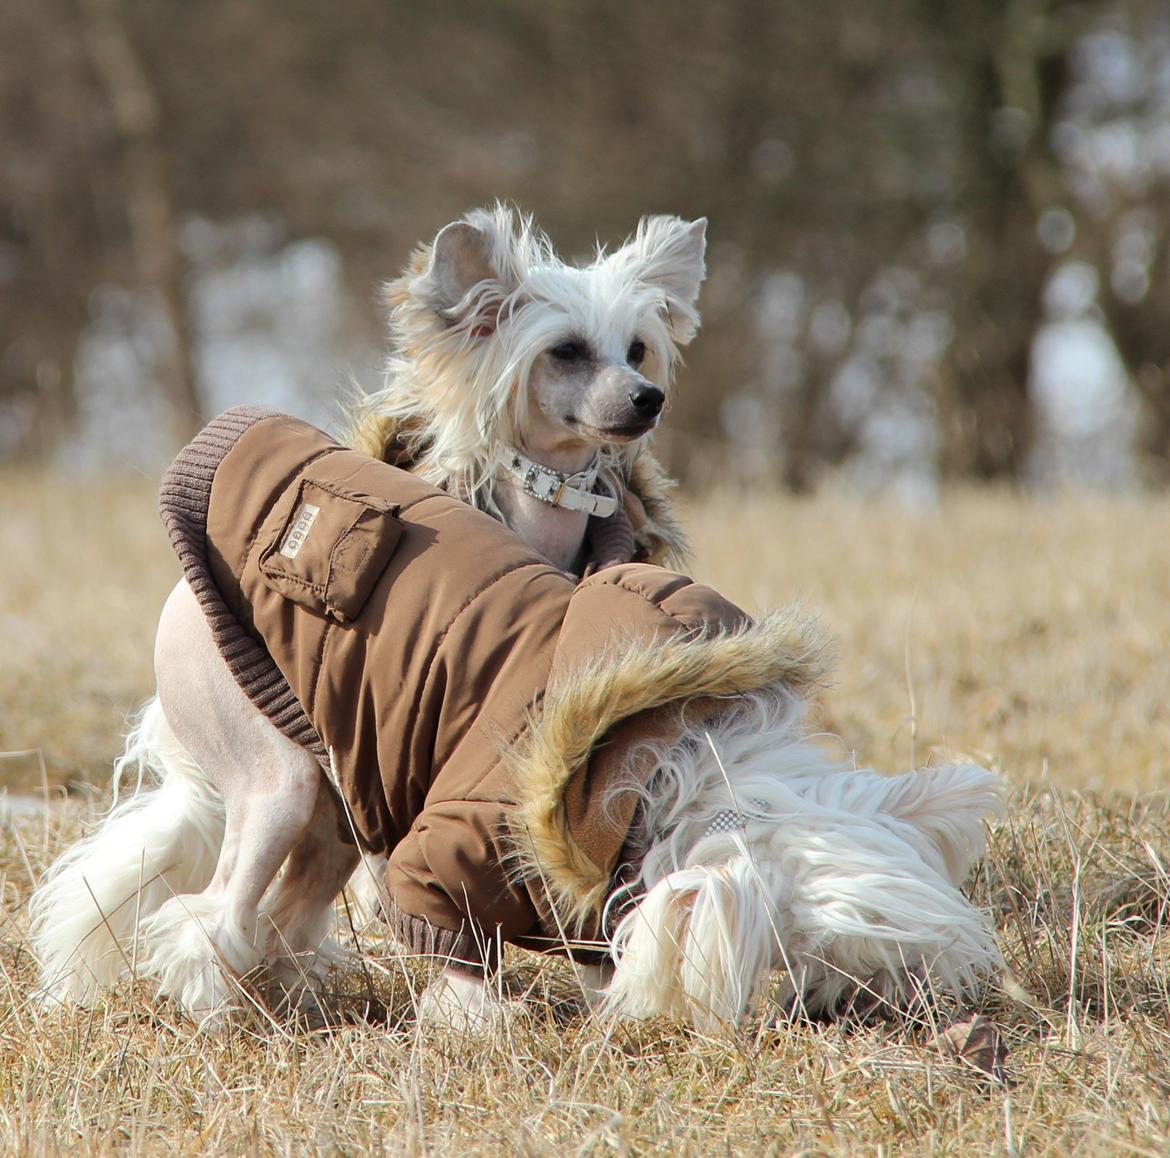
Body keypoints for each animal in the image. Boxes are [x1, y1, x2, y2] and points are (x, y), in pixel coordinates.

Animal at [27, 409, 1001, 1034]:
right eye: (816, 957)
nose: (848, 1011)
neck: (656, 770)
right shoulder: (450, 858)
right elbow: (454, 951)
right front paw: (481, 1023)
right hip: (277, 772)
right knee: (218, 911)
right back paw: (220, 1006)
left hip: (345, 786)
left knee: (286, 914)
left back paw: (287, 995)